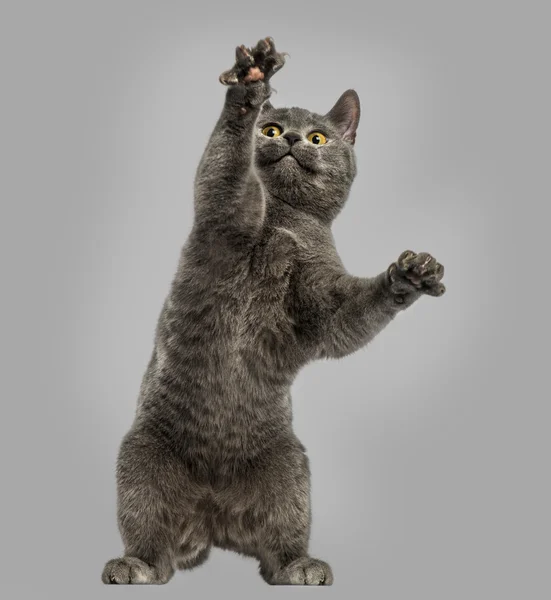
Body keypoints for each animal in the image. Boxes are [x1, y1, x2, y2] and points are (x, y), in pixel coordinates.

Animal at [102, 37, 448, 584]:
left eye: (319, 137)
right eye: (269, 129)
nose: (290, 139)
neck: (284, 221)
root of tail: (211, 517)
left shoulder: (323, 307)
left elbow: (349, 316)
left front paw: (410, 275)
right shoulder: (224, 216)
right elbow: (228, 170)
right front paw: (250, 82)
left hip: (290, 472)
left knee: (278, 545)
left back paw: (301, 566)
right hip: (142, 463)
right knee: (152, 542)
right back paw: (131, 565)